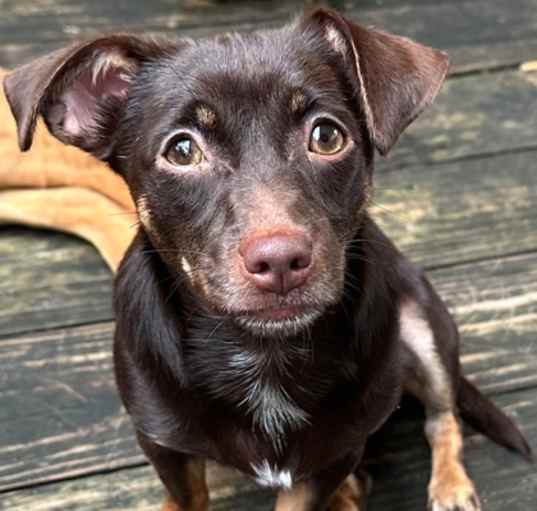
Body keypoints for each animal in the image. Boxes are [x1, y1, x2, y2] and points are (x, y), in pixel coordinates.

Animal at [1, 7, 532, 511]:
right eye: (182, 149)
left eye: (326, 136)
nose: (280, 260)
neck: (262, 356)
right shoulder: (164, 445)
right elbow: (186, 496)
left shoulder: (330, 458)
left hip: (423, 324)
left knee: (442, 416)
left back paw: (449, 485)